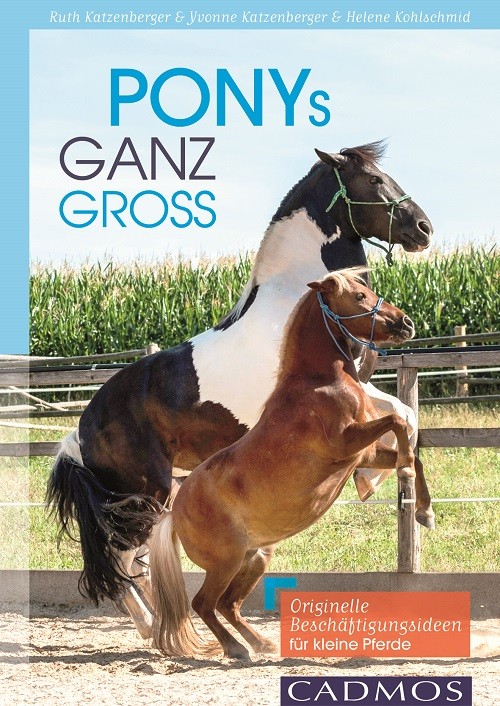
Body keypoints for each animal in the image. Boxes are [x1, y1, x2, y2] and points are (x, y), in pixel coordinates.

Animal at [149, 268, 435, 660]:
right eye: (359, 296)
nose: (406, 323)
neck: (319, 384)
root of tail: (173, 514)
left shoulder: (364, 454)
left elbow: (411, 450)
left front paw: (424, 512)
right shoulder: (345, 442)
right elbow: (398, 424)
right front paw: (405, 471)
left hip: (255, 557)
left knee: (227, 605)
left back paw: (261, 643)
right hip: (226, 562)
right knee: (204, 604)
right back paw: (236, 649)